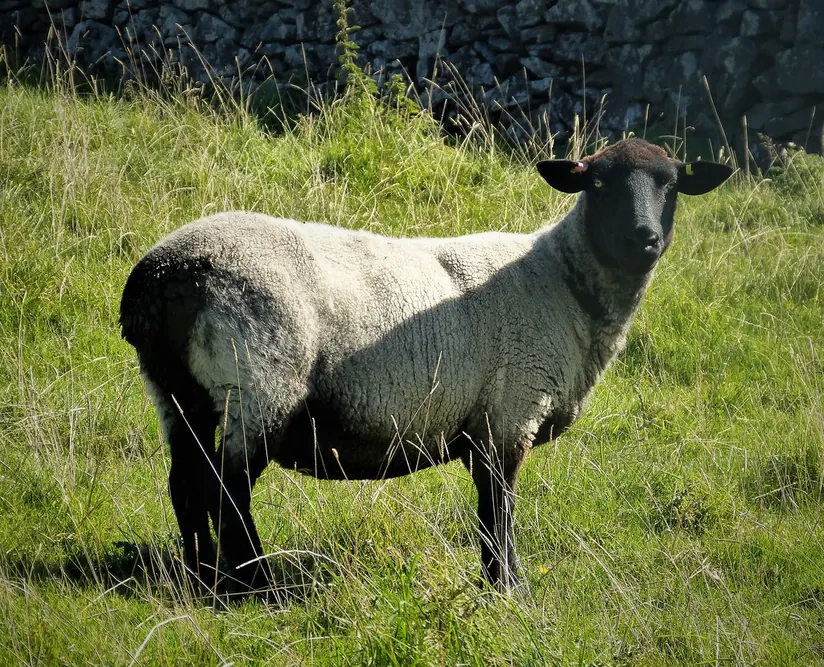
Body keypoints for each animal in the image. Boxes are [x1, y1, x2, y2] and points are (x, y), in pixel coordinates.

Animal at [120, 138, 733, 593]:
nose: (643, 238)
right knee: (228, 488)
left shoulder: (486, 425)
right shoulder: (510, 413)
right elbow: (498, 509)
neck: (564, 283)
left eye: (670, 184)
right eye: (599, 184)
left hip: (176, 391)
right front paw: (508, 590)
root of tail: (162, 275)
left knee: (186, 483)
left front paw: (498, 585)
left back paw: (201, 580)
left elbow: (489, 512)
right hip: (259, 378)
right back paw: (257, 587)